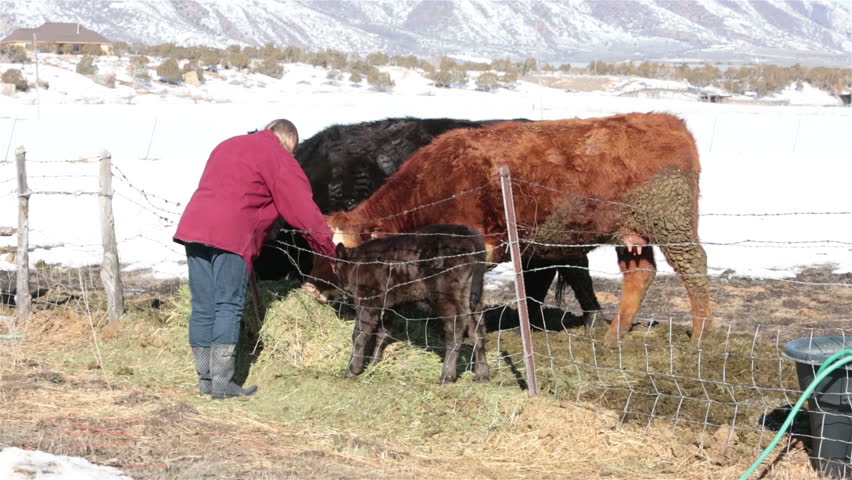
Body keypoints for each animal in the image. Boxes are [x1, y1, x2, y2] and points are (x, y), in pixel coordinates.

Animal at [318, 113, 712, 343]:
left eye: (341, 254)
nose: (317, 291)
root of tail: (668, 120)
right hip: (629, 233)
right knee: (639, 273)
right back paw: (614, 335)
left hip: (673, 224)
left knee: (694, 267)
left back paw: (701, 334)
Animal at [333, 224, 489, 384]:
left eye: (336, 268)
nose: (341, 286)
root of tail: (467, 233)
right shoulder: (389, 305)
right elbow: (383, 333)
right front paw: (373, 364)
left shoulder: (367, 300)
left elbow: (360, 334)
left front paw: (353, 370)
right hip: (473, 299)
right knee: (478, 332)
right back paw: (482, 375)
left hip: (447, 298)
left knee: (455, 332)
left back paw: (447, 375)